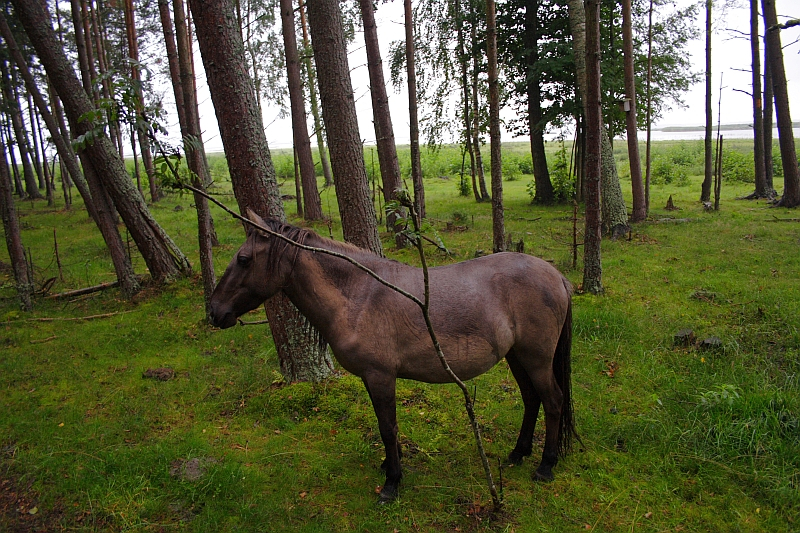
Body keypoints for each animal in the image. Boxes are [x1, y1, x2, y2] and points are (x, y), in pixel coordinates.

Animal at [209, 210, 576, 503]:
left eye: (244, 259)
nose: (214, 311)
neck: (358, 296)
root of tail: (557, 276)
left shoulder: (380, 375)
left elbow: (388, 427)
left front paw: (392, 484)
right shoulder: (373, 378)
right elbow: (385, 425)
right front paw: (389, 465)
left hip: (536, 359)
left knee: (553, 401)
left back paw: (545, 466)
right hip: (518, 357)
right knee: (532, 399)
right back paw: (518, 453)